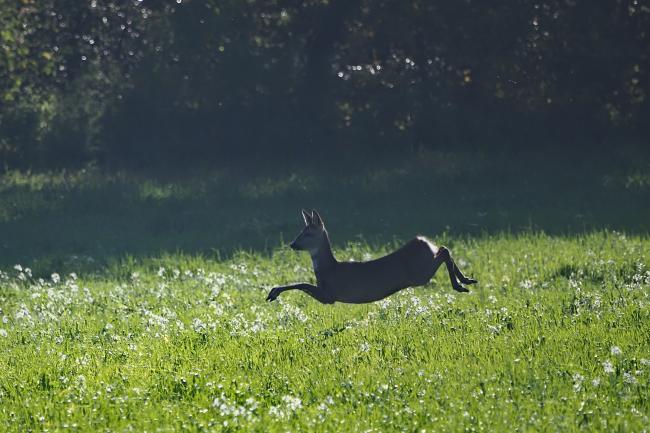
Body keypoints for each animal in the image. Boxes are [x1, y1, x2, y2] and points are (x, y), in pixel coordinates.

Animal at [265, 209, 477, 304]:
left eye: (308, 233)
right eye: (301, 231)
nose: (292, 244)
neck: (328, 268)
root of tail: (424, 241)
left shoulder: (329, 295)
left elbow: (302, 284)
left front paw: (274, 292)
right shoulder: (327, 295)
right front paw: (273, 291)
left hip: (420, 274)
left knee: (444, 251)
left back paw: (459, 285)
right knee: (444, 249)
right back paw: (467, 280)